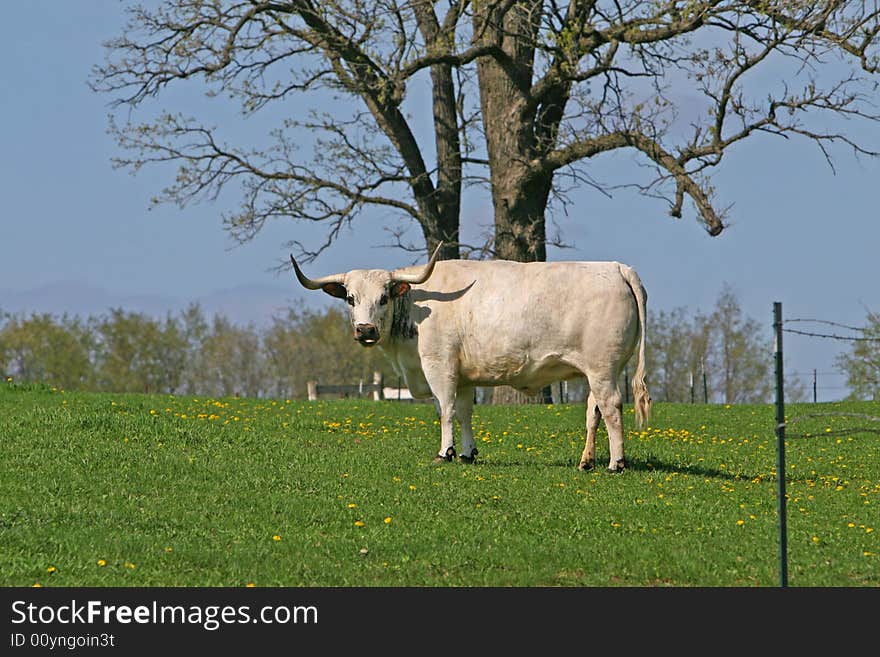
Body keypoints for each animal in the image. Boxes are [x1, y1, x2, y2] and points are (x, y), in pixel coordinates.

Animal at [292, 243, 648, 468]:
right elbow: (464, 412)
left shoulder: (439, 367)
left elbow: (445, 410)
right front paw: (467, 453)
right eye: (350, 298)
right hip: (599, 371)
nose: (365, 330)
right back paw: (587, 461)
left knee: (612, 407)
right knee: (594, 410)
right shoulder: (462, 376)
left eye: (383, 298)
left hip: (603, 369)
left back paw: (616, 463)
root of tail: (617, 268)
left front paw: (445, 452)